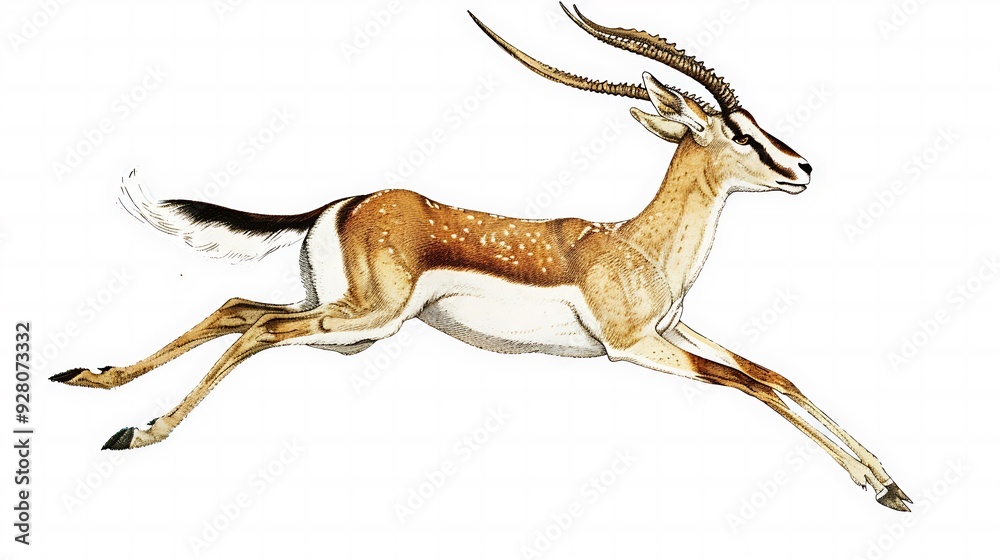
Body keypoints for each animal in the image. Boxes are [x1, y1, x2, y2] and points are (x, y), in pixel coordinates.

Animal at [50, 4, 910, 511]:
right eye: (737, 131)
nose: (804, 168)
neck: (637, 242)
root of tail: (343, 204)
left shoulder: (676, 331)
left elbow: (777, 374)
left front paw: (891, 484)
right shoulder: (634, 347)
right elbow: (749, 386)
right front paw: (879, 487)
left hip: (346, 320)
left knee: (237, 308)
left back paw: (91, 380)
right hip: (362, 321)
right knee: (257, 329)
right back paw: (140, 432)